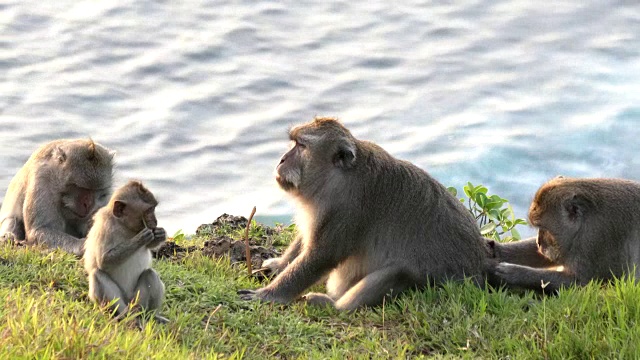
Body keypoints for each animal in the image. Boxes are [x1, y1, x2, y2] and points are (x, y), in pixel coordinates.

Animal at [83, 181, 168, 322]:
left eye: (153, 209)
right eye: (148, 210)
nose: (155, 221)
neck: (123, 225)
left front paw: (160, 234)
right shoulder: (105, 227)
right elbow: (103, 261)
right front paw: (140, 238)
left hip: (136, 300)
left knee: (150, 274)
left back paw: (148, 316)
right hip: (121, 301)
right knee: (97, 274)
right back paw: (125, 316)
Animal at [238, 117, 492, 310]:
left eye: (301, 146)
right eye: (294, 143)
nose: (282, 159)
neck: (337, 179)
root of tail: (477, 266)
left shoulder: (350, 209)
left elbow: (323, 255)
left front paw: (268, 295)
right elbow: (307, 239)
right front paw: (279, 265)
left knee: (399, 272)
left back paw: (335, 307)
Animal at [488, 176, 640, 292]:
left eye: (544, 228)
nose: (539, 242)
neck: (584, 221)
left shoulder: (596, 239)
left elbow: (583, 284)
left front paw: (516, 273)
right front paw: (496, 249)